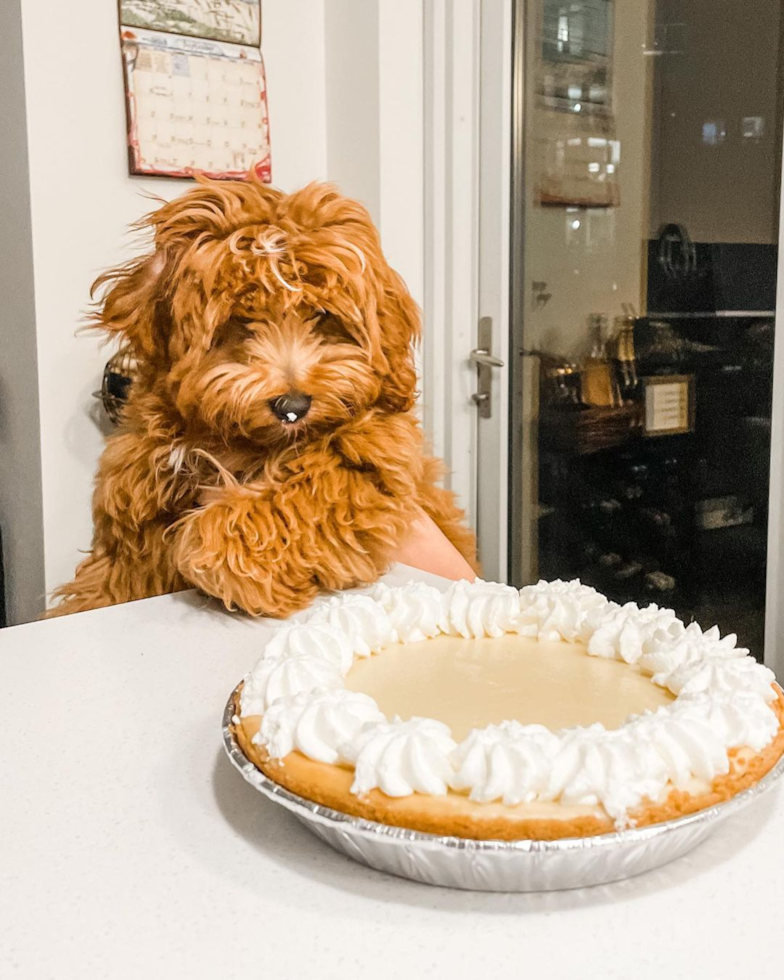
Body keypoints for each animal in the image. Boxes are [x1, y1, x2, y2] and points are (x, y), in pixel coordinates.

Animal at [52, 180, 478, 616]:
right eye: (240, 320)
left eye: (321, 314)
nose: (293, 407)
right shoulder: (137, 485)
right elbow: (115, 570)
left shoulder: (374, 456)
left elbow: (312, 489)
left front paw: (215, 549)